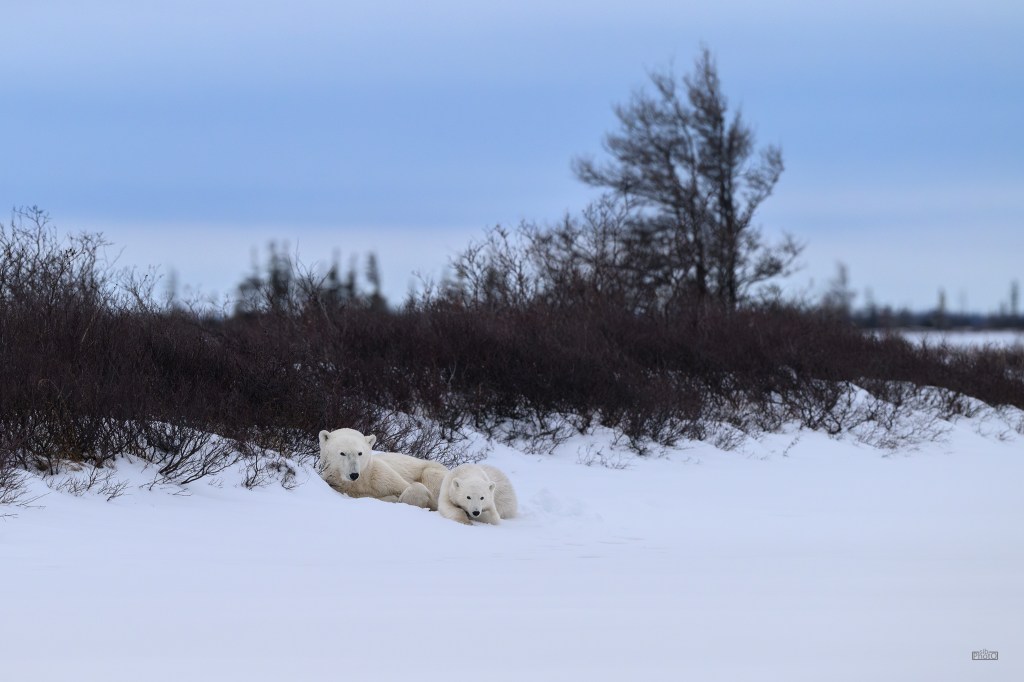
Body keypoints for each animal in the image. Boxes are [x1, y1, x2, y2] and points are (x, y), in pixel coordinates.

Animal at [318, 428, 448, 510]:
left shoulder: (380, 475)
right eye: (342, 453)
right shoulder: (338, 486)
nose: (354, 474)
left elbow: (408, 488)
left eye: (360, 453)